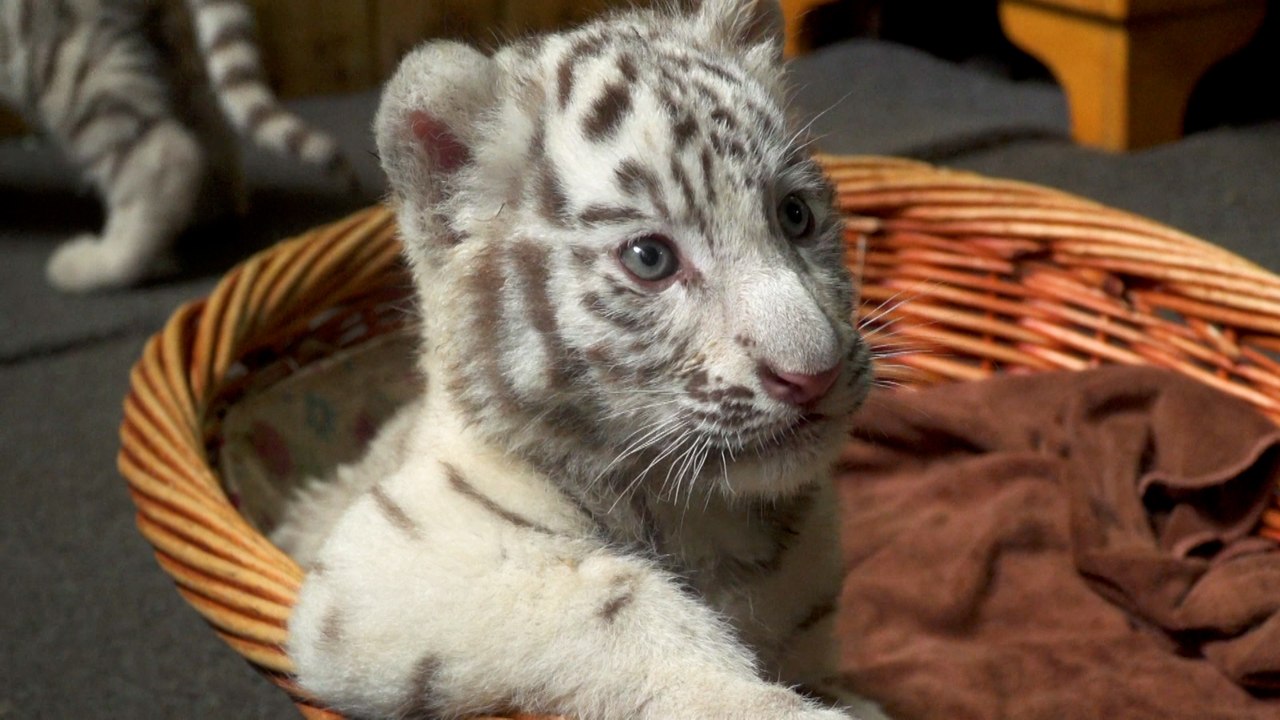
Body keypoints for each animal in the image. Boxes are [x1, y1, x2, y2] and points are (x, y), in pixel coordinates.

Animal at [0, 0, 355, 293]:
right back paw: (207, 215)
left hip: (59, 57)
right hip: (162, 42)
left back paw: (101, 263)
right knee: (209, 128)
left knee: (163, 154)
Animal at [271, 0, 888, 718]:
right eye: (650, 258)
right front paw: (766, 704)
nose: (813, 375)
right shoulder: (387, 563)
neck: (716, 522)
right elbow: (612, 598)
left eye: (794, 215)